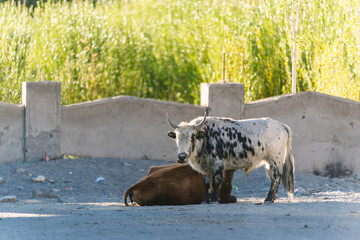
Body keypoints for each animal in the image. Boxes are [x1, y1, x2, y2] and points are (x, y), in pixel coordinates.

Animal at [167, 114, 296, 202]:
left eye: (193, 137)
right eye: (177, 137)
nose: (181, 156)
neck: (206, 138)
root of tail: (282, 126)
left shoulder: (218, 165)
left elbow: (216, 183)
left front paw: (214, 200)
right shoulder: (205, 170)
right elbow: (207, 185)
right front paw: (205, 201)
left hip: (275, 159)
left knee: (276, 177)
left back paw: (268, 199)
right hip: (270, 161)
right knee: (273, 178)